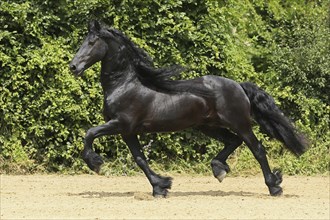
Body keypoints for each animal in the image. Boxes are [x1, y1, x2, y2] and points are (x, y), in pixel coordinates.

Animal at [70, 20, 310, 198]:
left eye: (91, 42)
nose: (73, 67)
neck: (124, 85)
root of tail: (238, 85)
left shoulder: (120, 124)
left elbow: (89, 133)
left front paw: (95, 163)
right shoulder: (128, 131)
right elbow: (140, 159)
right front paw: (161, 186)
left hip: (239, 123)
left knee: (257, 149)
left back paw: (274, 186)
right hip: (208, 126)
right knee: (233, 141)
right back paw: (219, 169)